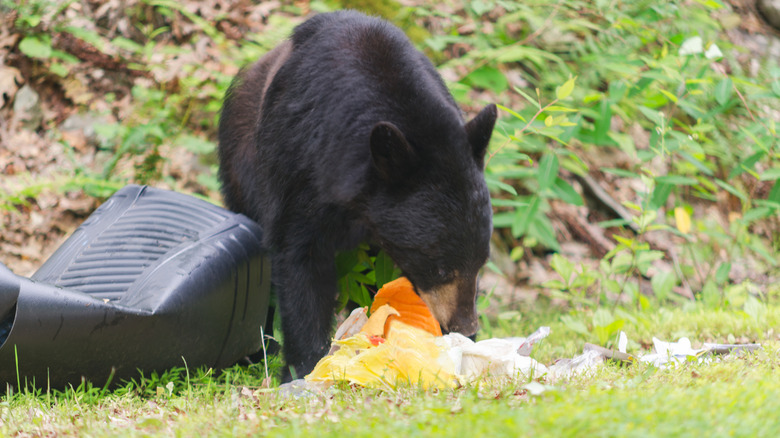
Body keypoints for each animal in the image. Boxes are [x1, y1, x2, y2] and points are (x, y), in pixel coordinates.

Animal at [218, 10, 497, 379]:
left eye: (482, 261)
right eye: (438, 268)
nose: (465, 327)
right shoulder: (300, 166)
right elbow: (299, 258)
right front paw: (305, 365)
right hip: (241, 165)